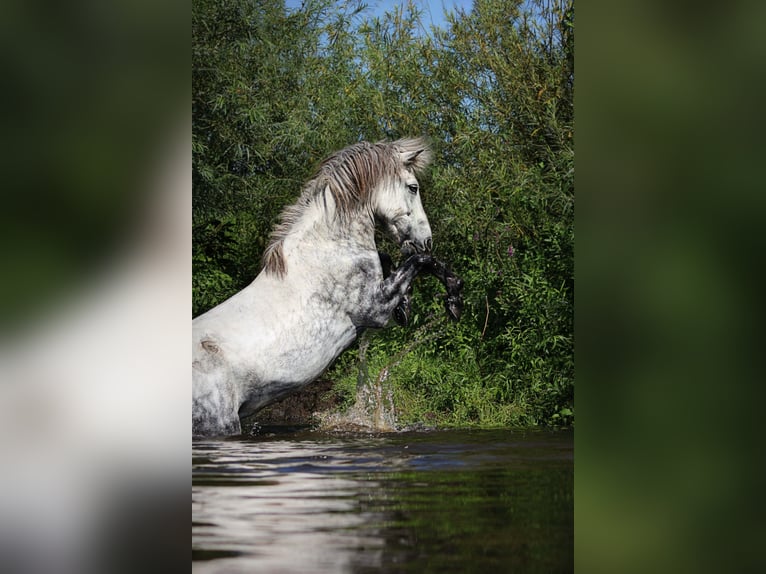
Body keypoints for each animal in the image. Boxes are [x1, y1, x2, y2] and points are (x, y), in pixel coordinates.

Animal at [192, 138, 463, 436]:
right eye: (413, 187)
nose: (426, 240)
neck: (329, 247)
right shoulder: (375, 310)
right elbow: (420, 262)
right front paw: (454, 298)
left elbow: (394, 261)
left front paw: (410, 305)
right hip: (220, 425)